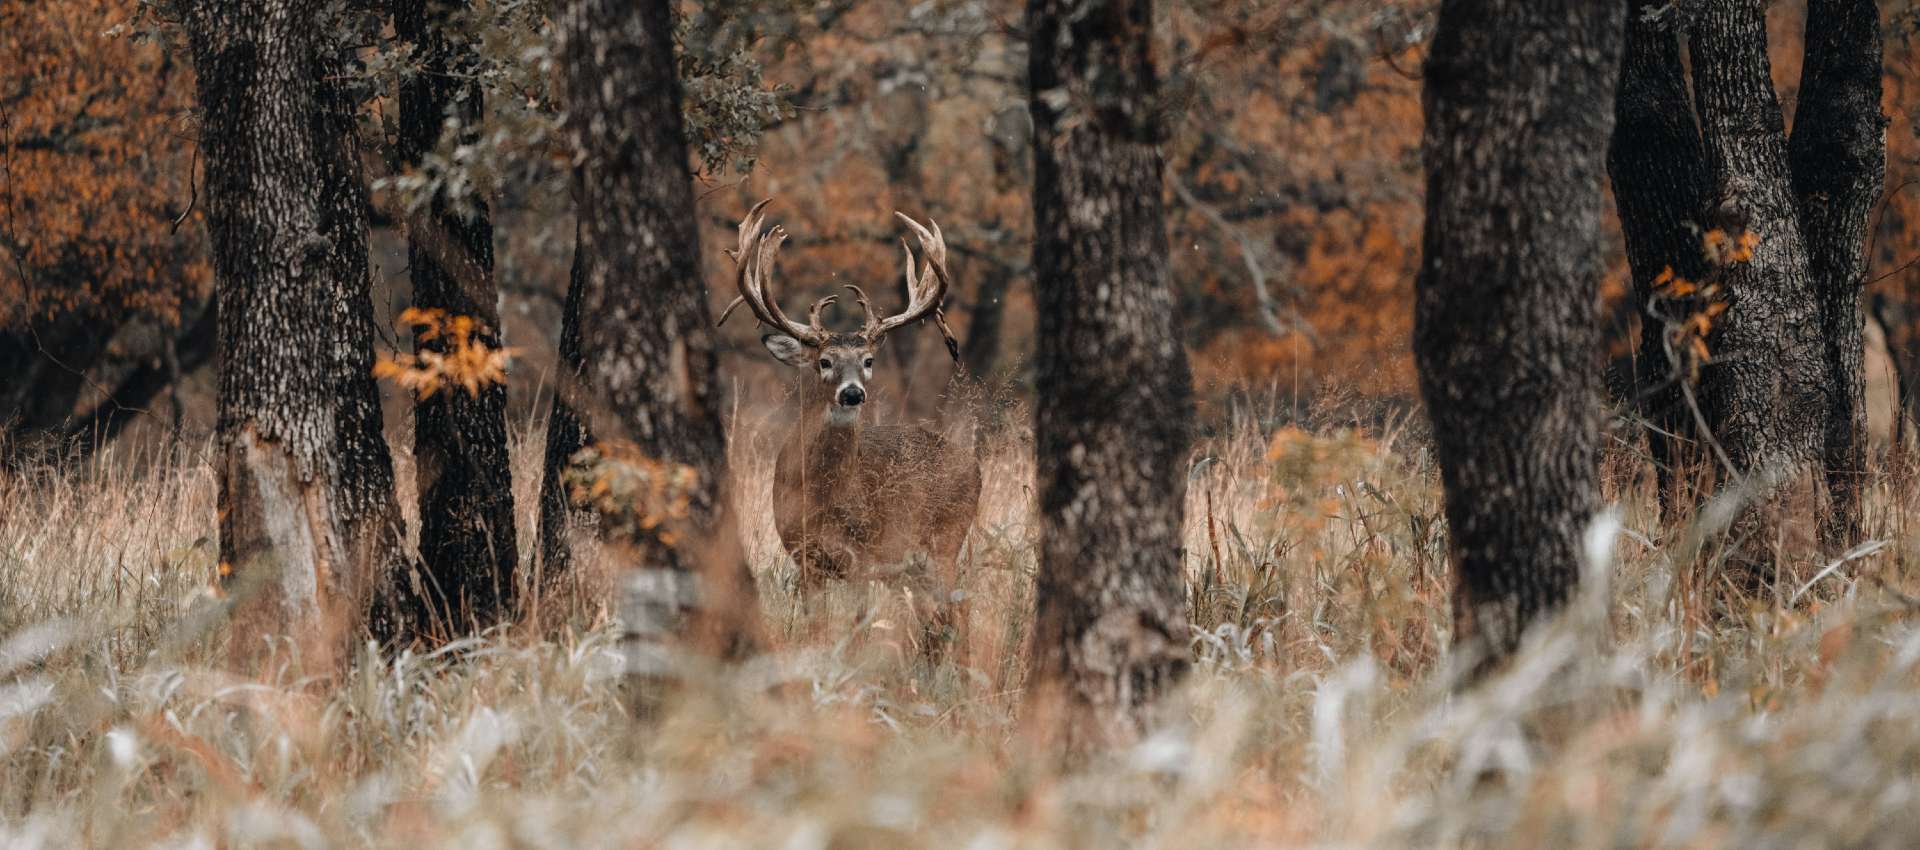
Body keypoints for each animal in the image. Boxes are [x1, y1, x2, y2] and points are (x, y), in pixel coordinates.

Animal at [718, 203, 975, 656]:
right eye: (825, 361)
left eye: (869, 360)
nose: (853, 393)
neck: (820, 497)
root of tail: (976, 467)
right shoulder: (802, 556)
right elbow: (815, 629)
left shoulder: (862, 557)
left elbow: (856, 627)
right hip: (912, 567)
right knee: (938, 620)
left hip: (945, 540)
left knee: (956, 614)